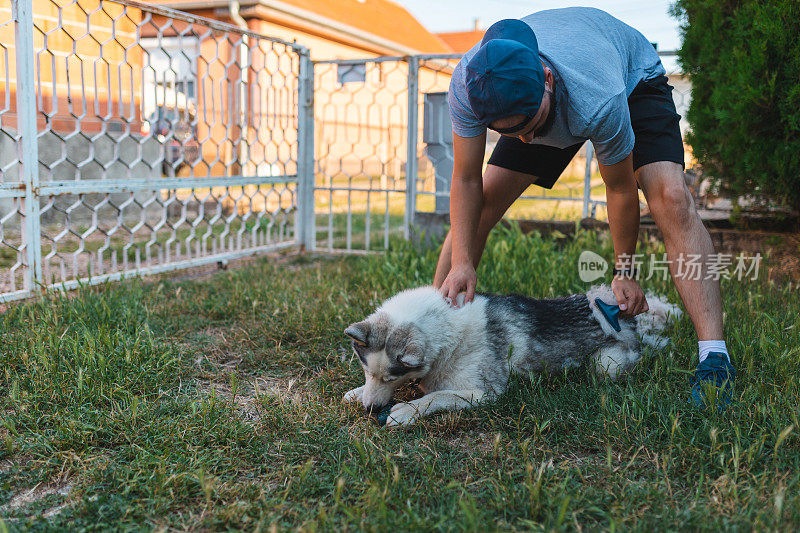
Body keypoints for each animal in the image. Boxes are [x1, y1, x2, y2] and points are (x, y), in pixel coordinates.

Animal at [342, 284, 680, 426]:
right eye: (367, 372)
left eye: (391, 377)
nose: (370, 409)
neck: (449, 335)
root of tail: (626, 316)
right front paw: (356, 392)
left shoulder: (483, 394)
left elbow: (434, 397)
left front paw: (406, 411)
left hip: (605, 364)